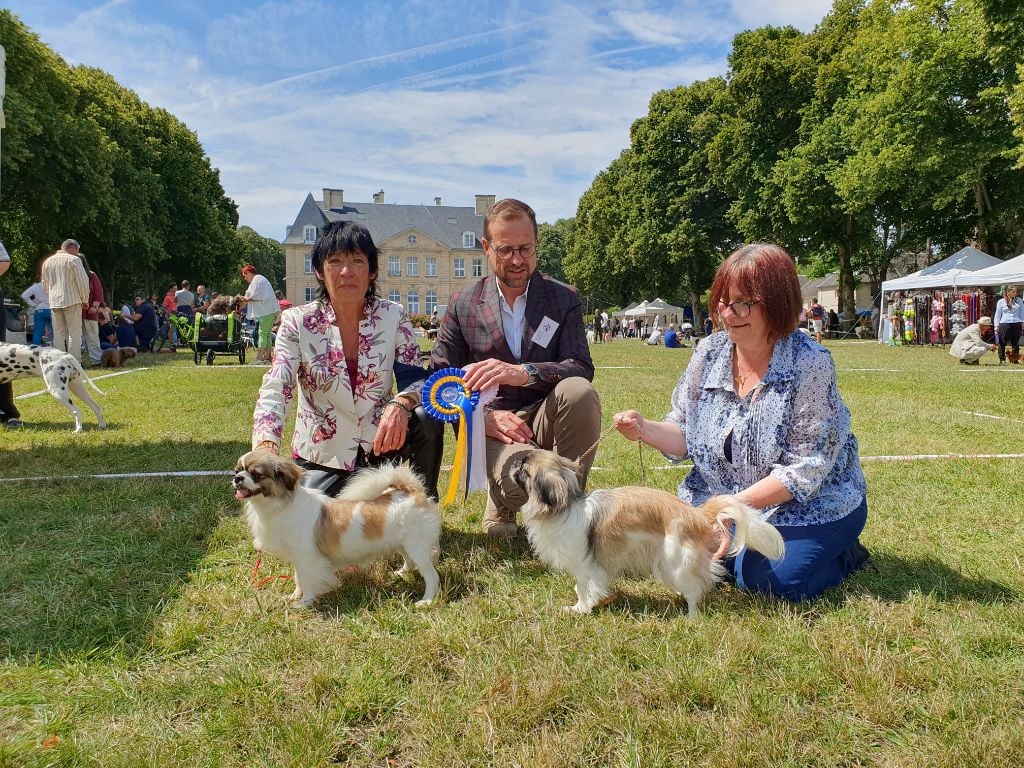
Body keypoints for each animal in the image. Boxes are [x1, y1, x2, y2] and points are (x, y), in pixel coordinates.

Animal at [234, 450, 442, 606]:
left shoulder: (308, 559)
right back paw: (402, 573)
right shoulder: (299, 559)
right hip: (403, 543)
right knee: (409, 561)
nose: (237, 478)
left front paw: (304, 603)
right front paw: (294, 596)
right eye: (237, 470)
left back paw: (426, 601)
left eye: (256, 474)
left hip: (417, 546)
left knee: (431, 576)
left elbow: (308, 582)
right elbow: (298, 578)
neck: (281, 506)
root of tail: (410, 491)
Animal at [512, 450, 782, 618]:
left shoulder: (585, 565)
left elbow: (583, 588)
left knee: (695, 589)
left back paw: (691, 617)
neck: (565, 506)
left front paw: (581, 609)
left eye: (524, 467)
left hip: (674, 560)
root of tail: (695, 514)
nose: (513, 461)